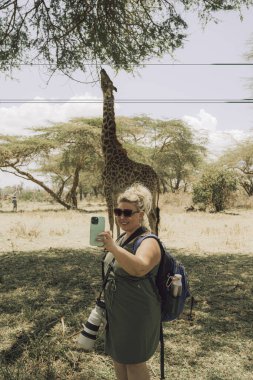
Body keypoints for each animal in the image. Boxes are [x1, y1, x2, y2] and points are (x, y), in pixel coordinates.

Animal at [100, 68, 159, 235]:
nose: (102, 69)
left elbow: (110, 218)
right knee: (154, 216)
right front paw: (119, 238)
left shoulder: (107, 187)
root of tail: (157, 177)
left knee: (152, 216)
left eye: (107, 81)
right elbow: (117, 219)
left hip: (148, 193)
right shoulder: (116, 191)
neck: (108, 151)